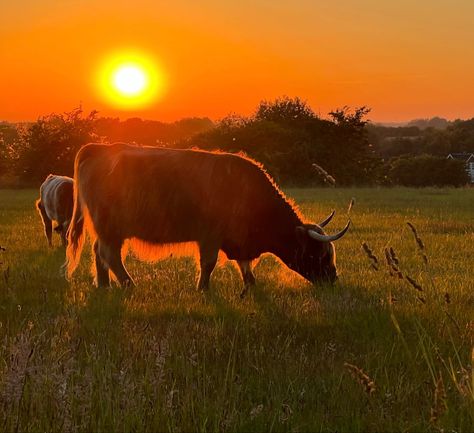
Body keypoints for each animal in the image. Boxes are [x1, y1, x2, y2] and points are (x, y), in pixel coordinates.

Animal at [65, 143, 348, 290]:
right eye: (319, 254)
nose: (332, 278)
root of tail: (101, 147)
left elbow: (245, 264)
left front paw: (251, 284)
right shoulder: (211, 236)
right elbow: (209, 263)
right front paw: (203, 288)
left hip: (107, 229)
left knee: (99, 251)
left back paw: (104, 285)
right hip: (111, 226)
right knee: (109, 254)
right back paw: (128, 283)